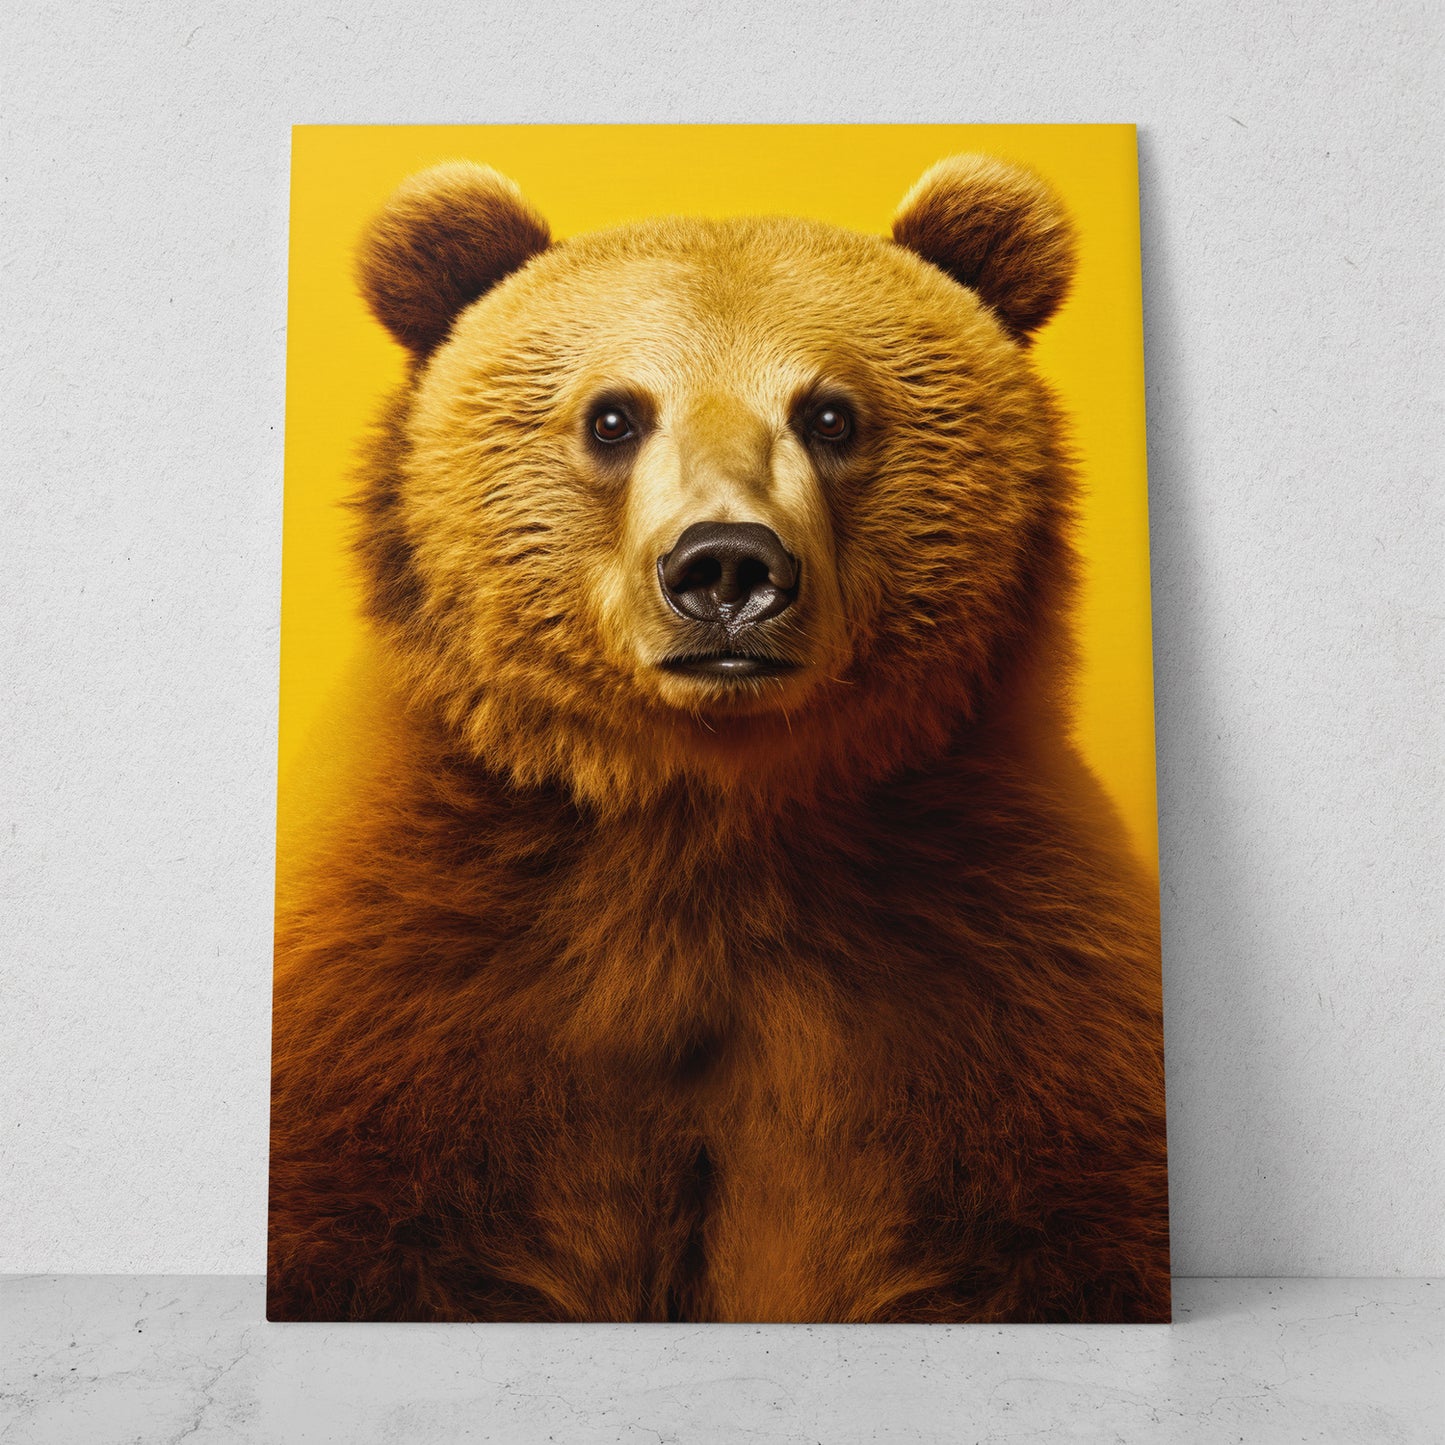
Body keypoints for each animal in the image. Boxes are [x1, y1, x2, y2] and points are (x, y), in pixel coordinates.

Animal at [267, 154, 1170, 1324]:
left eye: (830, 413)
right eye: (613, 416)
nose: (727, 565)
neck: (708, 807)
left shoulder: (996, 985)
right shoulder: (420, 979)